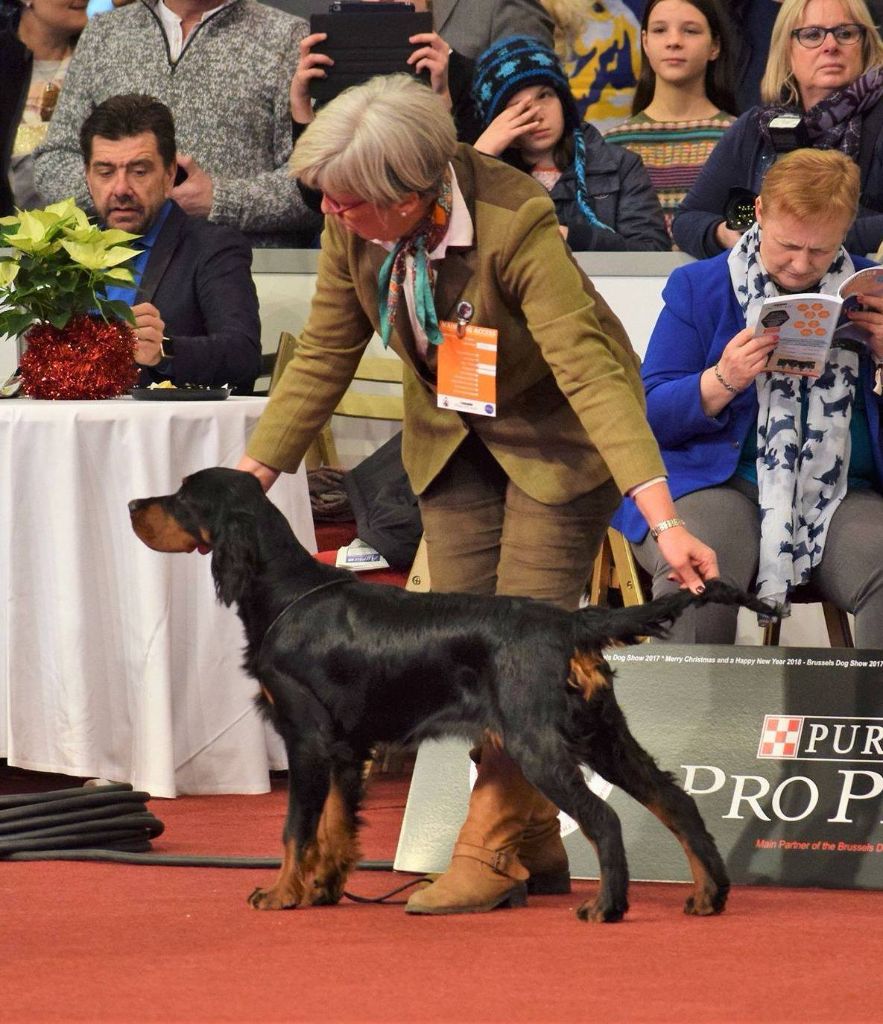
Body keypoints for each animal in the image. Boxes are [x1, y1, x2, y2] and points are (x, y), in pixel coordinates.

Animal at [128, 466, 778, 921]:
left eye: (183, 495)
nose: (134, 504)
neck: (288, 592)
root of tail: (570, 622)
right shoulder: (344, 749)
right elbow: (335, 826)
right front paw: (323, 889)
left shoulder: (306, 738)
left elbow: (296, 828)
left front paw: (281, 892)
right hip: (602, 734)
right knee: (677, 802)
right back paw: (707, 896)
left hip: (539, 742)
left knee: (605, 818)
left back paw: (606, 907)